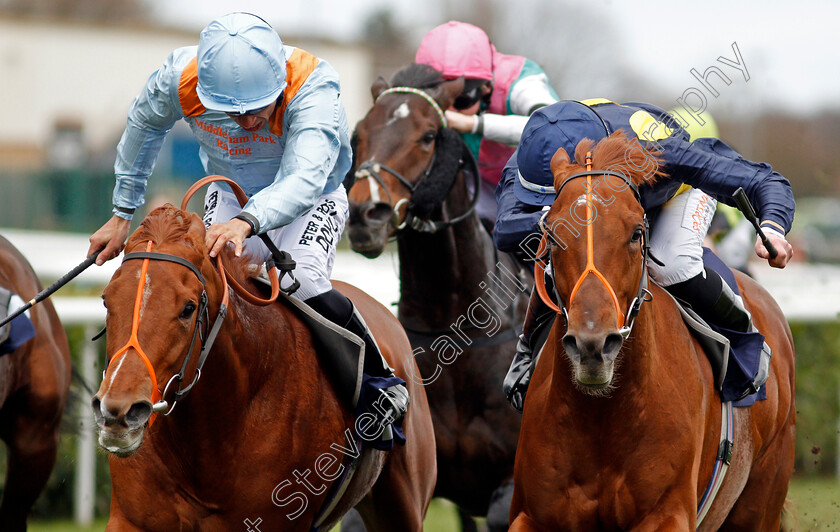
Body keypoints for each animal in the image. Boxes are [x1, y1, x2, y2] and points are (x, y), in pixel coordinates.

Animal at [512, 133, 796, 532]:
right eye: (552, 236)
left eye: (636, 233)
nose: (592, 347)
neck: (602, 418)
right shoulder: (529, 514)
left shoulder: (668, 512)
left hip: (762, 499)